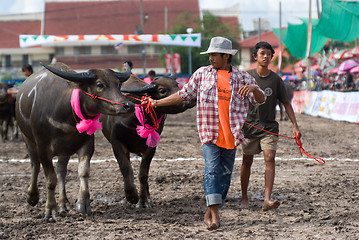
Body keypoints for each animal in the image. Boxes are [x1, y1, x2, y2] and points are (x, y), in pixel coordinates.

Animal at [14, 62, 136, 219]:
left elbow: (83, 172)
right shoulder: (43, 148)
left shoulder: (87, 144)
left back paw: (63, 203)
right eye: (99, 84)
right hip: (28, 140)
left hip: (64, 150)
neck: (66, 115)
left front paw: (83, 203)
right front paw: (50, 209)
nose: (129, 106)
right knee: (35, 165)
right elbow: (50, 179)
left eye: (118, 84)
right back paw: (32, 196)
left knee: (61, 170)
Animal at [101, 73, 197, 208]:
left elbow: (143, 174)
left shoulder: (150, 148)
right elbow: (126, 169)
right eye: (162, 90)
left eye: (177, 85)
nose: (190, 99)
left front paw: (143, 201)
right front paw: (131, 196)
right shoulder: (117, 144)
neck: (135, 120)